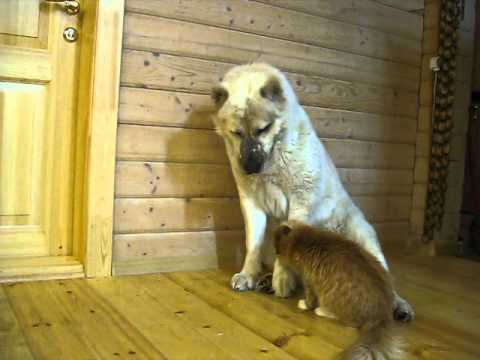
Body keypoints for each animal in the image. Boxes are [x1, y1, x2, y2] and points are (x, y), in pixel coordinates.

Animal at [212, 62, 414, 320]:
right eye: (236, 133)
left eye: (263, 129)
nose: (249, 168)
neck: (273, 158)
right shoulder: (251, 203)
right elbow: (252, 244)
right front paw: (248, 274)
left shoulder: (299, 200)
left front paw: (281, 280)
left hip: (364, 235)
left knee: (385, 281)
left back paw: (399, 305)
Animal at [274, 221, 402, 358]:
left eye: (277, 246)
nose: (275, 252)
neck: (305, 239)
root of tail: (382, 313)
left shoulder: (309, 280)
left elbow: (310, 299)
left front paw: (305, 305)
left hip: (331, 297)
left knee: (349, 321)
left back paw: (322, 311)